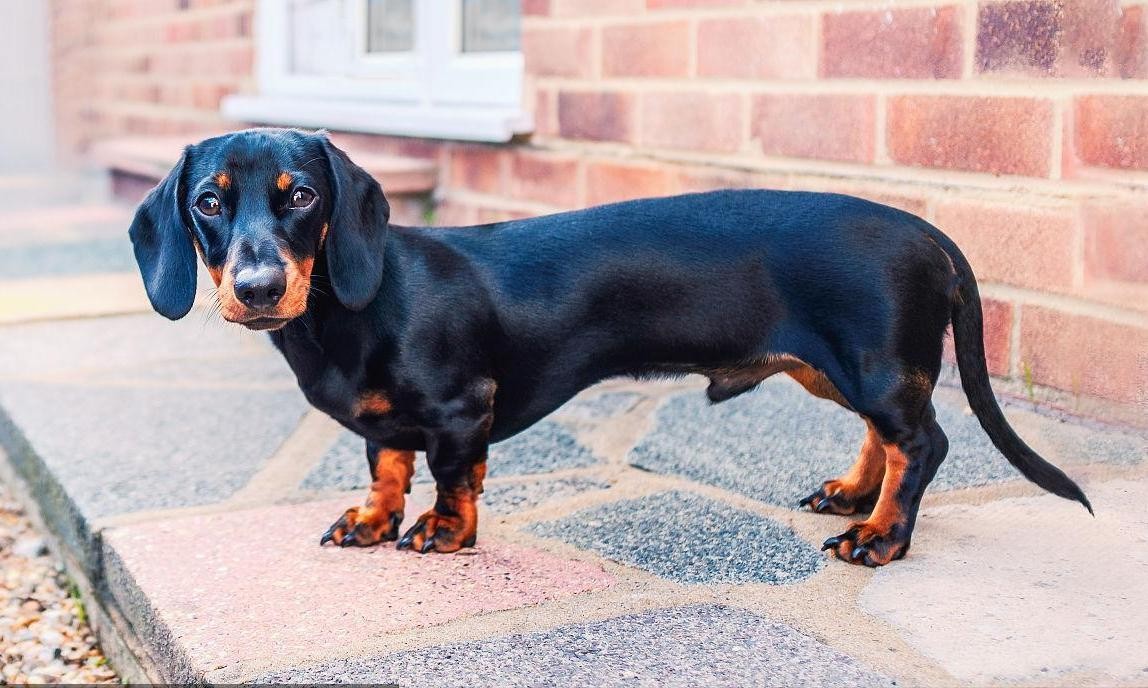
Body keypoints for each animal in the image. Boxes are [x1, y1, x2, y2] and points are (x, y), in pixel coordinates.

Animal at [128, 128, 1091, 567]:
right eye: (209, 201)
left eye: (300, 196)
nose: (257, 288)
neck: (354, 309)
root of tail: (929, 233)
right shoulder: (385, 424)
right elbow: (386, 466)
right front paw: (372, 519)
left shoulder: (461, 410)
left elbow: (452, 478)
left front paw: (443, 532)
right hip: (841, 370)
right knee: (884, 439)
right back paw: (854, 495)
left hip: (876, 364)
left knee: (922, 443)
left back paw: (883, 534)